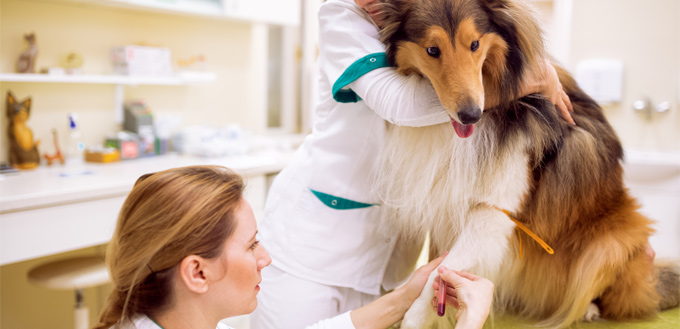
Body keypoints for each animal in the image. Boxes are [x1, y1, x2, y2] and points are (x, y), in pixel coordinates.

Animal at [374, 0, 672, 326]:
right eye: (432, 50)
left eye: (475, 44)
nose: (470, 115)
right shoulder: (448, 199)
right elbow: (432, 265)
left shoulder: (494, 210)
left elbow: (436, 275)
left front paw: (413, 319)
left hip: (611, 244)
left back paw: (589, 309)